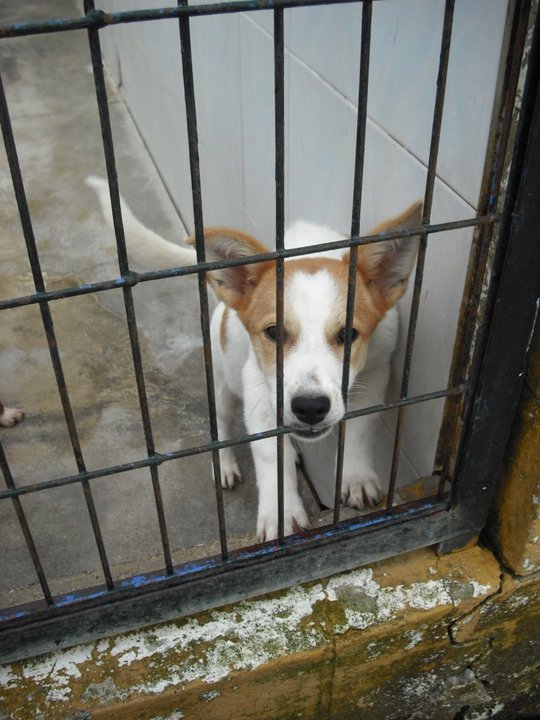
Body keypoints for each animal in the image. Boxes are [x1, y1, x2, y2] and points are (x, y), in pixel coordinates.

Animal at [87, 176, 421, 541]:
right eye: (273, 332)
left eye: (348, 334)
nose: (310, 408)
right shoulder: (259, 388)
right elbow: (269, 453)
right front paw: (281, 511)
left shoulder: (377, 369)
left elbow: (360, 426)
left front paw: (356, 477)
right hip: (222, 385)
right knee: (221, 424)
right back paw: (225, 464)